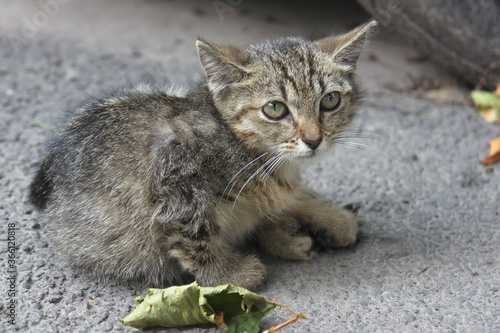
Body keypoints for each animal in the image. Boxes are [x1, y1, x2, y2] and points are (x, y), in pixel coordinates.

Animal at [29, 19, 376, 290]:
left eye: (330, 100)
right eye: (275, 109)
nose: (313, 140)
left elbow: (290, 195)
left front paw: (326, 215)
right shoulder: (174, 175)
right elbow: (194, 237)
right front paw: (230, 274)